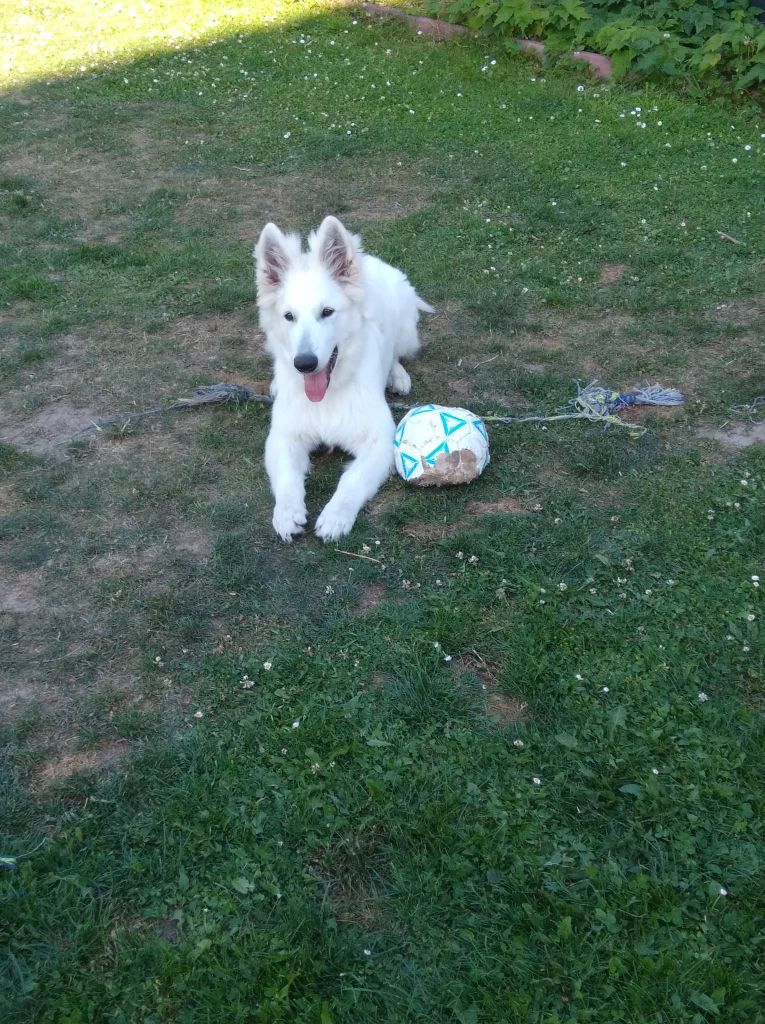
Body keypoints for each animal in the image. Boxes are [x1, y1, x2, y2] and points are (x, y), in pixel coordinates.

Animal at [252, 217, 428, 544]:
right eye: (288, 316)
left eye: (327, 312)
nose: (304, 364)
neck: (327, 396)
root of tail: (370, 261)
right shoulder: (283, 438)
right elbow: (287, 479)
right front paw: (286, 513)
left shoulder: (379, 441)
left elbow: (351, 481)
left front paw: (335, 517)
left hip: (406, 327)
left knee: (396, 353)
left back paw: (397, 375)